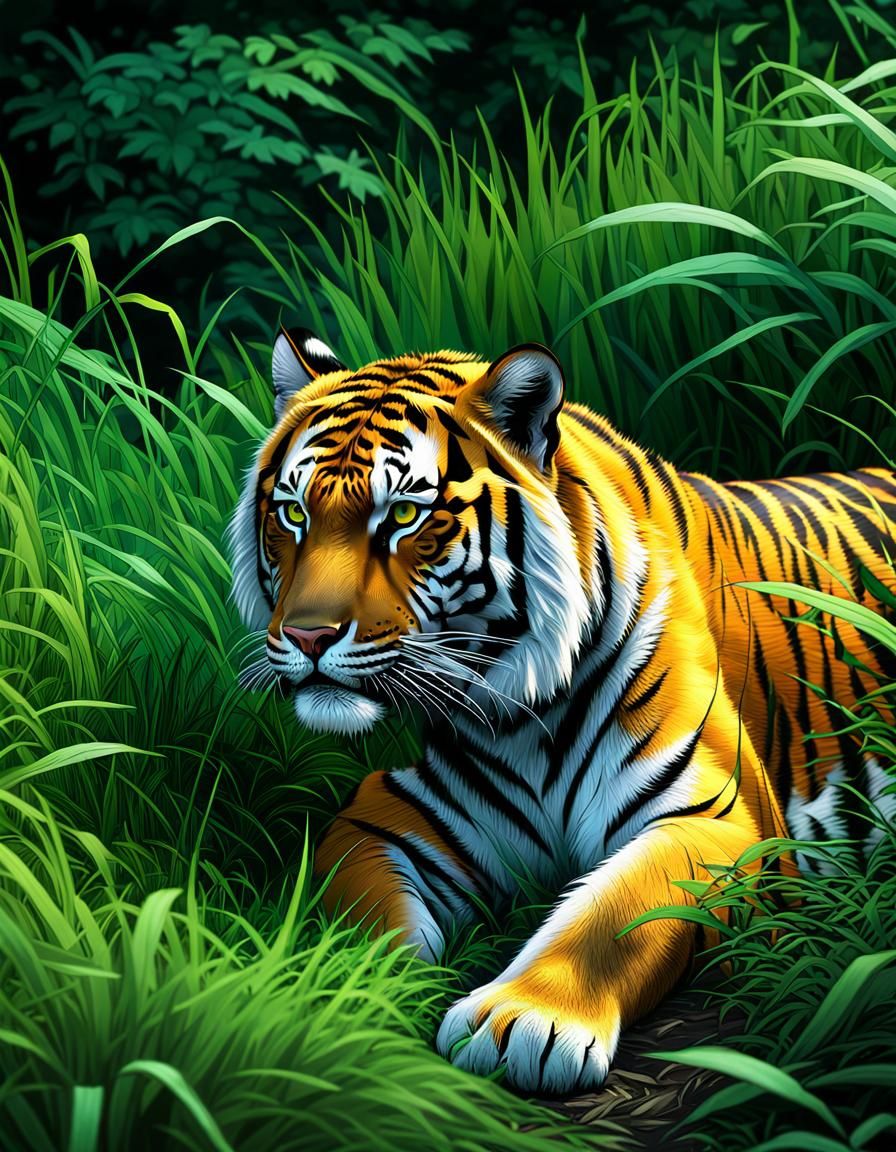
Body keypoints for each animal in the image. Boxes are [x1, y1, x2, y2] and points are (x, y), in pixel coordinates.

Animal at [229, 326, 896, 1095]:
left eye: (402, 515)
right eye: (293, 512)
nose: (308, 636)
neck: (524, 718)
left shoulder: (718, 817)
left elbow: (615, 911)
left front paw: (524, 1018)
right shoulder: (385, 813)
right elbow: (363, 907)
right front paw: (356, 988)